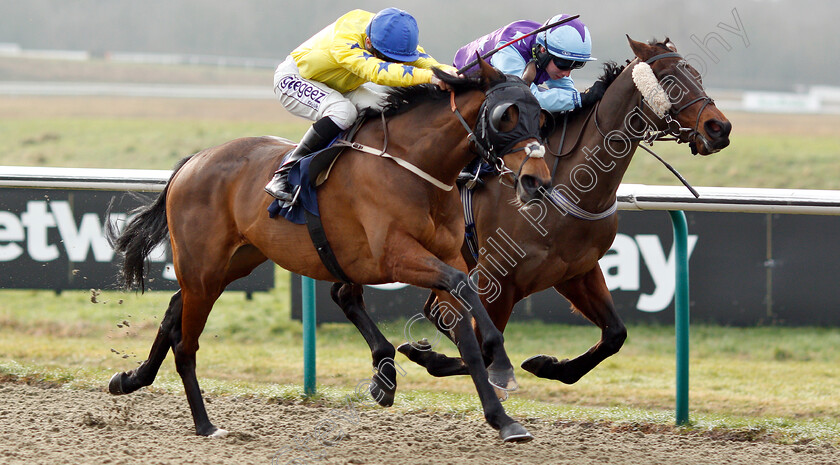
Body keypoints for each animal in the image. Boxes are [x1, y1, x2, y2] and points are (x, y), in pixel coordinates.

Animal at [105, 58, 552, 442]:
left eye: (542, 117)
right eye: (506, 116)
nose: (537, 181)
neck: (415, 168)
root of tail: (194, 160)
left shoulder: (443, 256)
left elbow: (466, 323)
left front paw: (503, 417)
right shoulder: (396, 256)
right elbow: (462, 286)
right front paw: (500, 361)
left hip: (231, 263)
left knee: (173, 313)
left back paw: (129, 379)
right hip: (203, 267)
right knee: (186, 343)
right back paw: (204, 424)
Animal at [386, 38, 728, 384]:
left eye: (697, 75)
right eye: (669, 80)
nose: (719, 127)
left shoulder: (576, 272)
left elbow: (615, 334)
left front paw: (547, 364)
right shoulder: (497, 280)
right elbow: (486, 350)